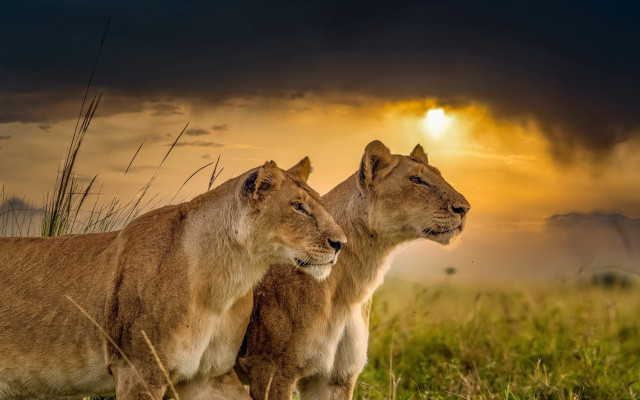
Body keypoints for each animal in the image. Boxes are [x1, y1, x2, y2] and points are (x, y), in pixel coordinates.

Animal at [0, 157, 346, 400]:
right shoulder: (138, 371)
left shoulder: (207, 377)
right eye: (297, 206)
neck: (223, 285)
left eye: (318, 202)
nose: (341, 243)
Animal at [238, 140, 470, 400]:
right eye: (417, 180)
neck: (349, 290)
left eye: (439, 174)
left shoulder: (335, 378)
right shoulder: (271, 369)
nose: (464, 208)